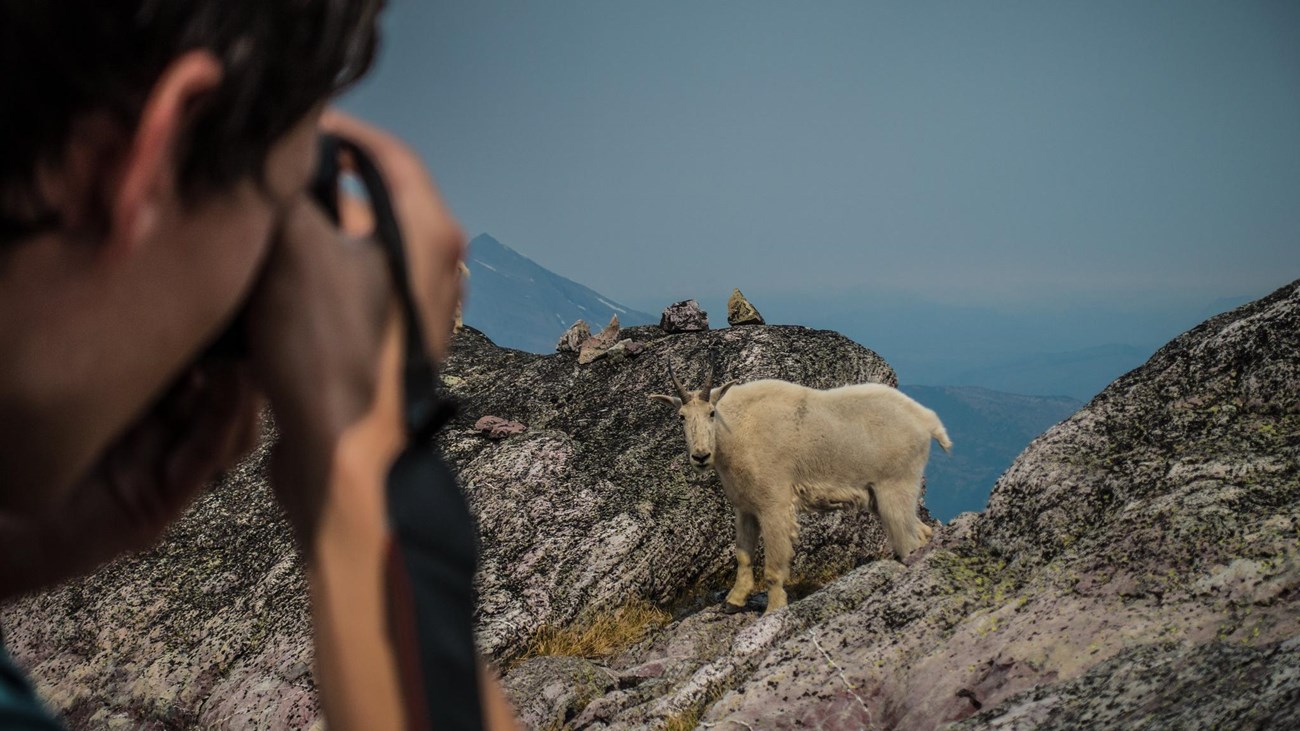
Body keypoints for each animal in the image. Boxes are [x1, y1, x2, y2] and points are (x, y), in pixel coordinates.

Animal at [650, 360, 950, 614]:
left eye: (712, 413)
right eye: (681, 416)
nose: (700, 456)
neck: (736, 430)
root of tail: (927, 420)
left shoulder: (774, 505)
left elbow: (773, 566)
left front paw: (773, 609)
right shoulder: (745, 508)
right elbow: (743, 555)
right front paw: (733, 602)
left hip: (896, 486)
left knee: (908, 538)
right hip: (880, 496)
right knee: (920, 532)